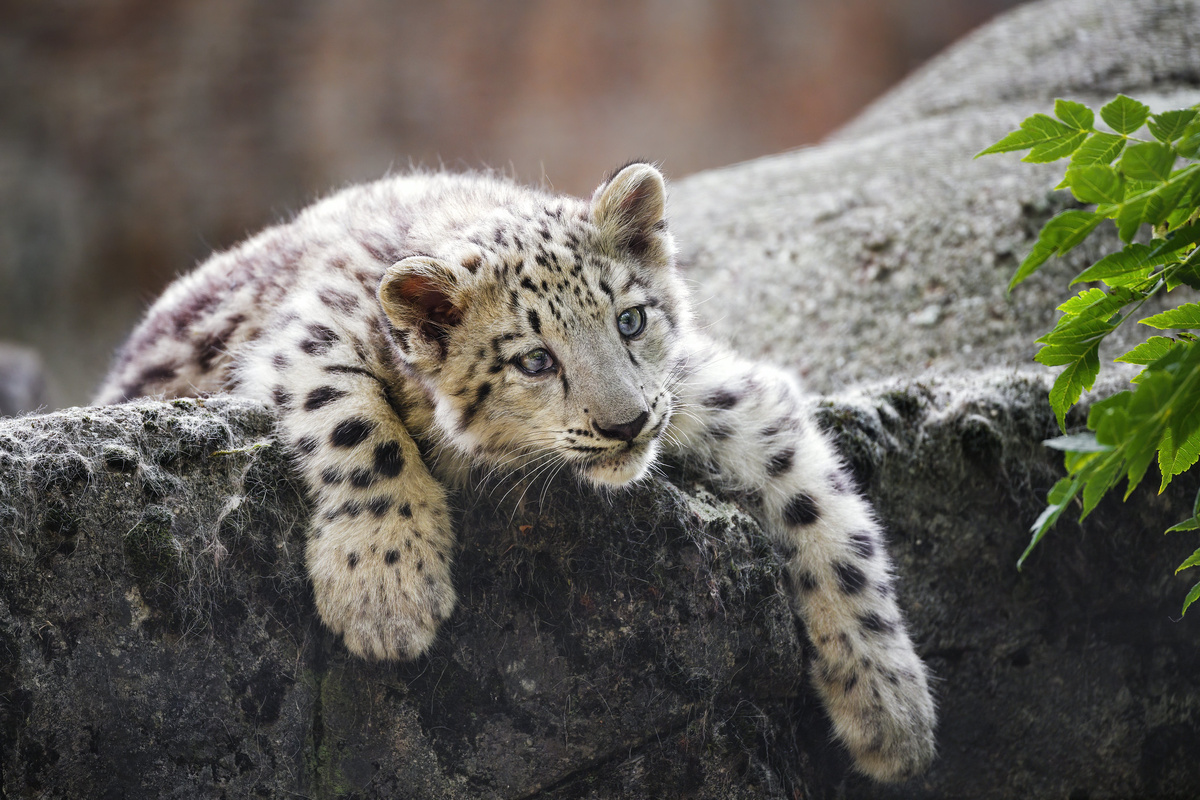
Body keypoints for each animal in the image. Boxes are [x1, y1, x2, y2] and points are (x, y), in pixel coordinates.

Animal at [94, 162, 936, 782]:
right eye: (535, 360)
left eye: (630, 319)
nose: (629, 421)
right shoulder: (310, 332)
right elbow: (351, 416)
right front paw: (386, 593)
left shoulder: (725, 395)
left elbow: (823, 506)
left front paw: (890, 712)